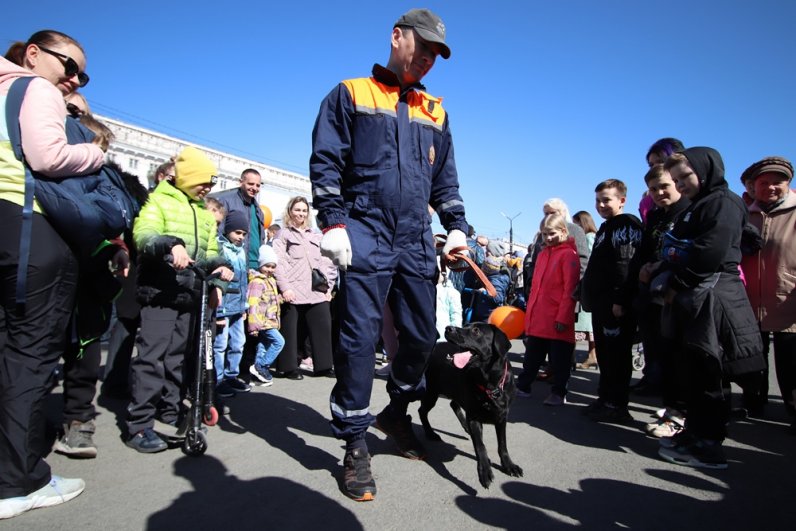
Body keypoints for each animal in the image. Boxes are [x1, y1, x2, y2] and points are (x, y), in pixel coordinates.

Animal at [420, 322, 524, 488]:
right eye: (465, 325)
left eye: (476, 331)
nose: (448, 328)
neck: (489, 383)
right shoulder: (474, 416)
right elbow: (480, 446)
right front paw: (485, 471)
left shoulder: (502, 416)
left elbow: (502, 444)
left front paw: (509, 465)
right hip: (432, 392)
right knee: (422, 411)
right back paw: (430, 433)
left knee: (453, 404)